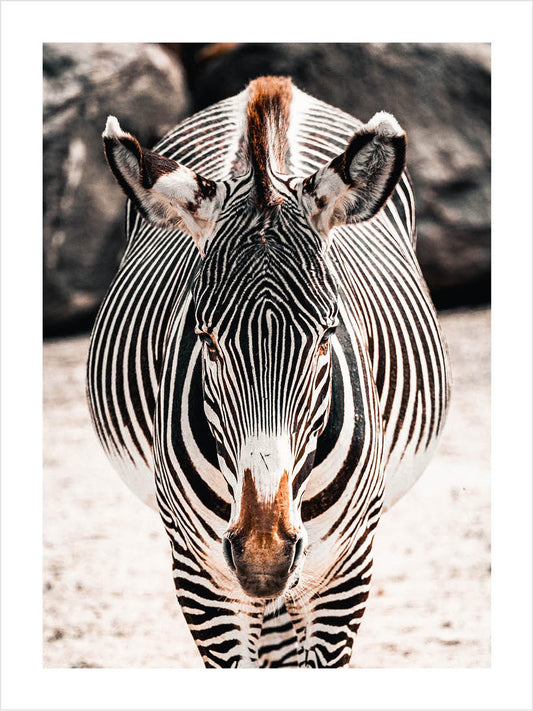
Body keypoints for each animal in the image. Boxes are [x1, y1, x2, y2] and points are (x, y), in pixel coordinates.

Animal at [87, 76, 450, 668]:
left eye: (327, 336)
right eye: (206, 340)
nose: (263, 556)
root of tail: (269, 88)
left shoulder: (347, 570)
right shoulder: (200, 576)